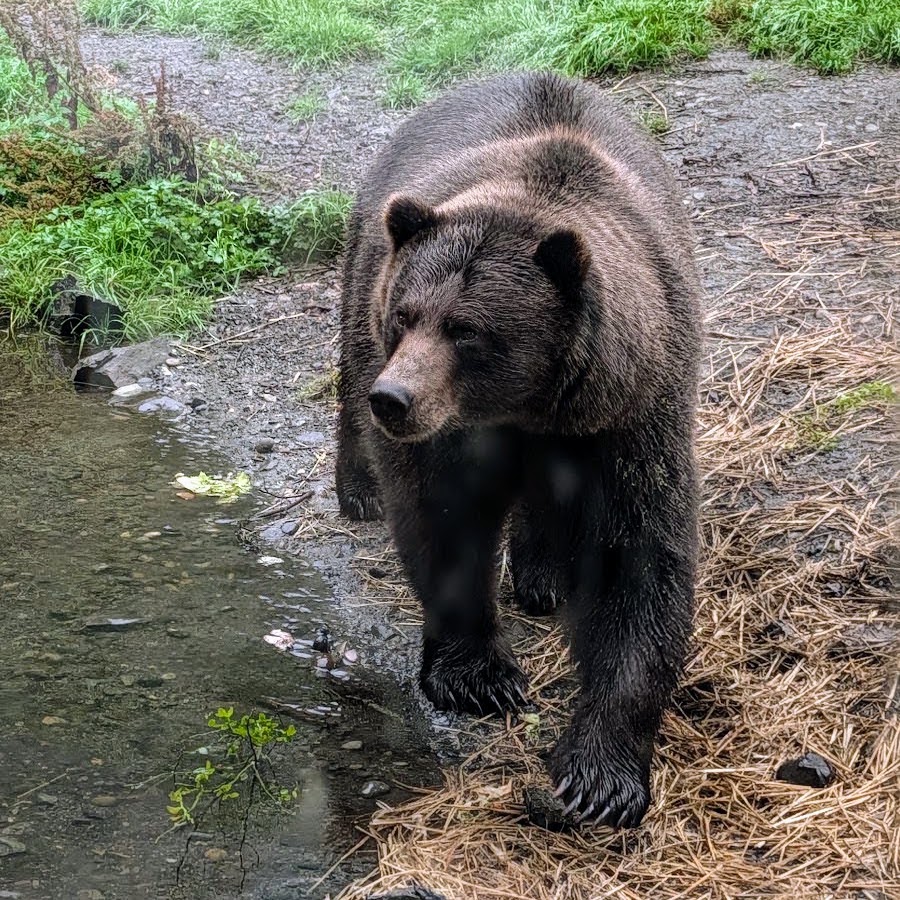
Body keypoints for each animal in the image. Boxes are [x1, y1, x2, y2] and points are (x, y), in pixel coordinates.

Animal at [336, 71, 701, 828]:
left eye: (466, 329)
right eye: (407, 315)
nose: (396, 398)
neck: (526, 406)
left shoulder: (629, 415)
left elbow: (637, 559)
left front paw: (601, 775)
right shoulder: (449, 434)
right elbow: (443, 522)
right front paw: (479, 678)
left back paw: (542, 573)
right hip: (364, 260)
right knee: (348, 372)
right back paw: (356, 486)